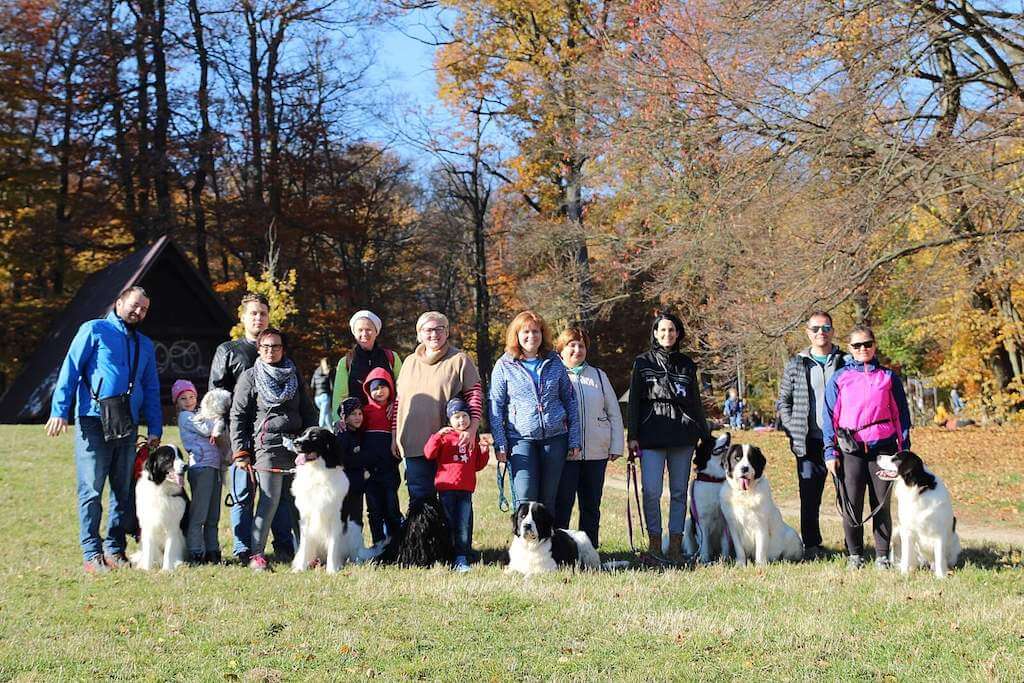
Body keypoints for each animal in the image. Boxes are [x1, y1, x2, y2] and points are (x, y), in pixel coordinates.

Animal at [131, 444, 189, 573]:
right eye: (168, 458)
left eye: (180, 456)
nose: (186, 466)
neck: (162, 489)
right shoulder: (147, 525)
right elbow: (148, 549)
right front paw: (146, 569)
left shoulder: (173, 526)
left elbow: (169, 550)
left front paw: (166, 570)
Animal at [290, 428, 366, 573]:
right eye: (302, 434)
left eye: (314, 436)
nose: (295, 442)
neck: (317, 474)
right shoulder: (305, 519)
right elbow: (305, 545)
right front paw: (300, 569)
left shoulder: (336, 518)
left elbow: (333, 545)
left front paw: (332, 570)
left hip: (354, 530)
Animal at [684, 436, 733, 565]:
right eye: (712, 441)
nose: (728, 433)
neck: (713, 480)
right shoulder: (703, 520)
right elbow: (705, 542)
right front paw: (705, 559)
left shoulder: (725, 521)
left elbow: (725, 542)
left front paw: (725, 559)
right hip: (688, 523)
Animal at [872, 450, 958, 581]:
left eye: (895, 459)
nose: (878, 456)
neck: (916, 488)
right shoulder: (906, 529)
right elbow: (906, 555)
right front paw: (904, 574)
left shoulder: (939, 533)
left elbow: (939, 557)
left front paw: (940, 577)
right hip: (897, 533)